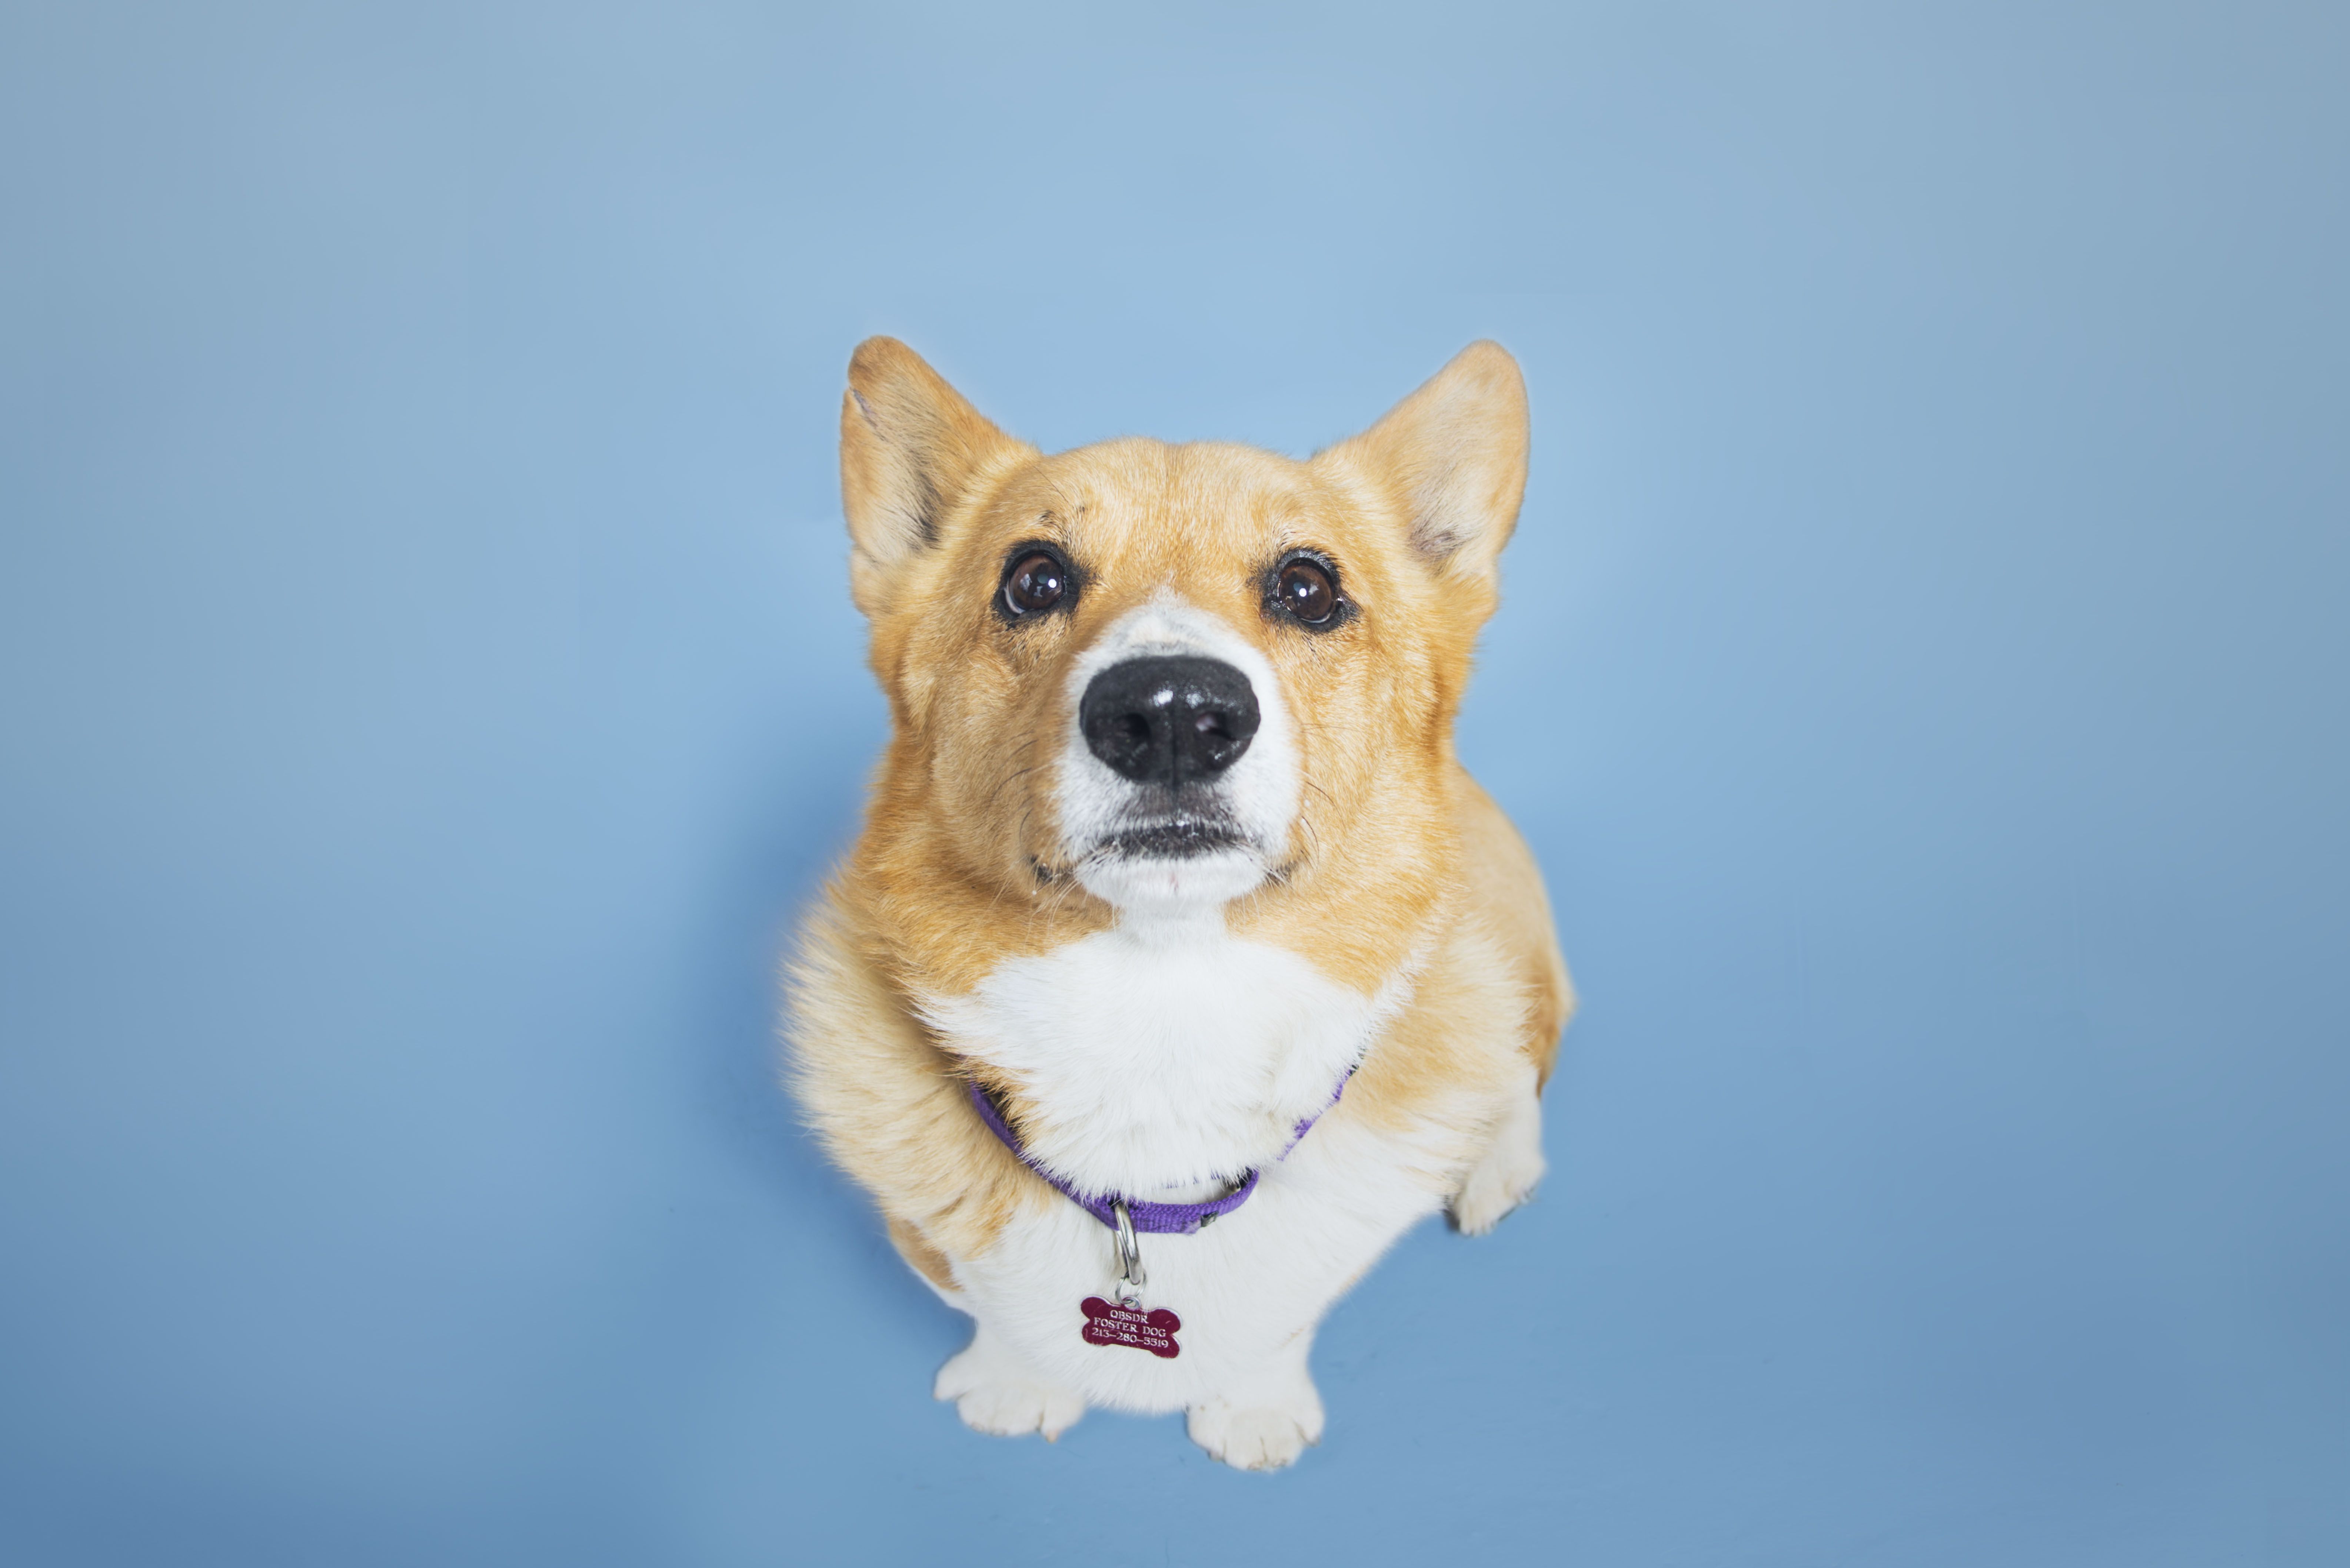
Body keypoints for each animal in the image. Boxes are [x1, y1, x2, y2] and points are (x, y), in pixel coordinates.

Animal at [789, 334, 1579, 1476]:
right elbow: (986, 1307)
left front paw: (1253, 1410)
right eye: (1033, 578)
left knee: (1517, 1070)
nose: (1169, 713)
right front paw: (1013, 1388)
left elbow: (1284, 1322)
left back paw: (1493, 1171)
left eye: (1307, 586)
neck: (1161, 1003)